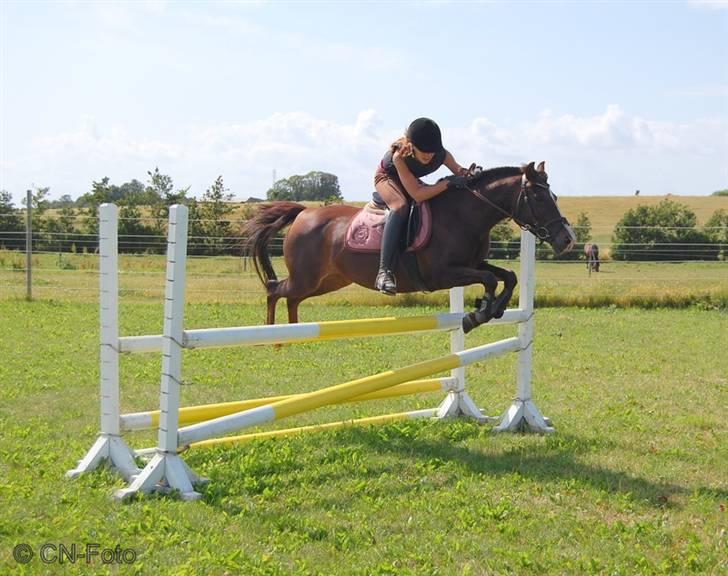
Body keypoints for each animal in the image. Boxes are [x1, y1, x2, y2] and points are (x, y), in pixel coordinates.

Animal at [243, 161, 575, 334]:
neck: (464, 214)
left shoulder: (472, 264)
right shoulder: (442, 274)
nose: (567, 239)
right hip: (308, 277)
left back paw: (289, 335)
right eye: (540, 198)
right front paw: (478, 314)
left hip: (327, 281)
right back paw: (271, 338)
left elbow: (508, 276)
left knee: (291, 298)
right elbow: (490, 279)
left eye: (554, 196)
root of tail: (303, 213)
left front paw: (492, 309)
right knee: (275, 289)